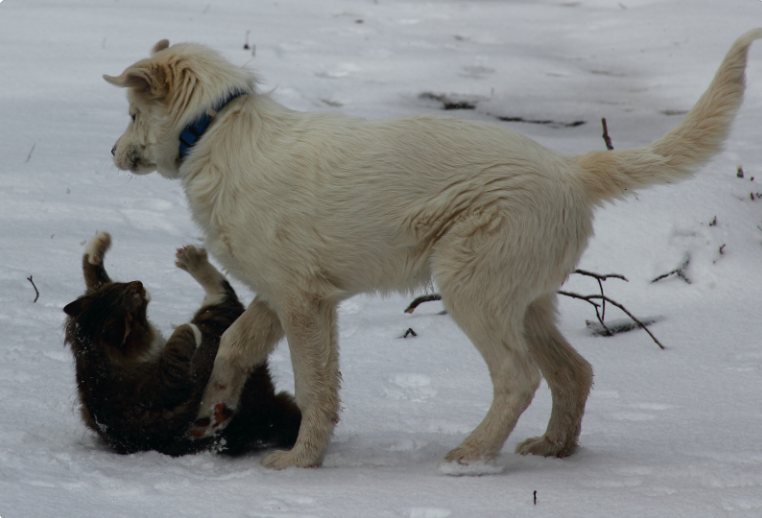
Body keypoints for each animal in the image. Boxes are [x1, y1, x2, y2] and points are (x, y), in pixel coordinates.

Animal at [104, 31, 756, 472]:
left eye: (132, 113)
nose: (111, 153)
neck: (214, 131)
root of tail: (572, 170)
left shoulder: (303, 302)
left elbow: (315, 386)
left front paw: (300, 461)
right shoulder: (278, 294)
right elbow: (233, 347)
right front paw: (211, 413)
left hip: (471, 287)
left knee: (519, 378)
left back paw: (470, 455)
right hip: (524, 300)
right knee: (573, 371)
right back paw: (553, 447)